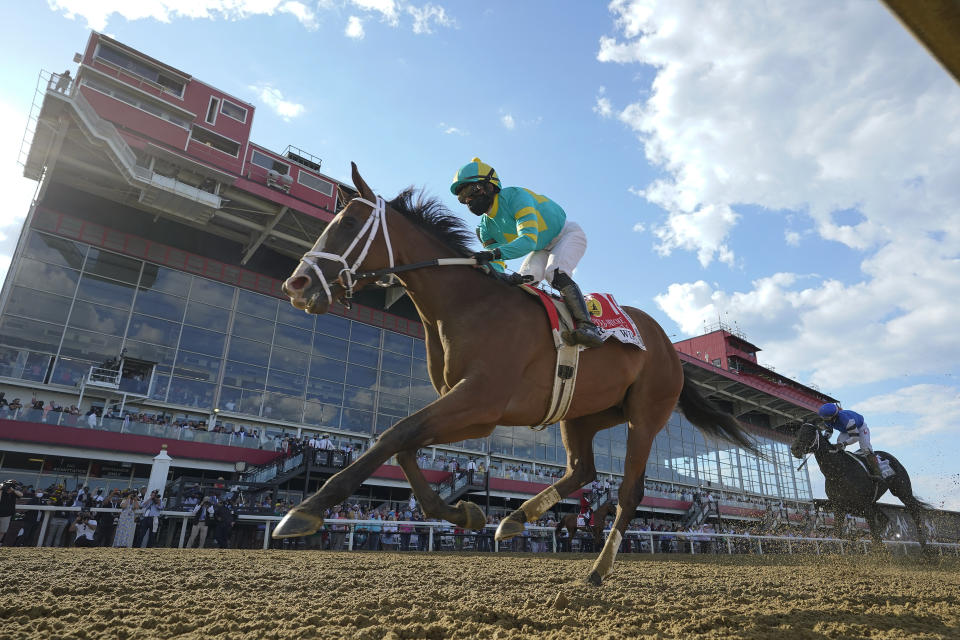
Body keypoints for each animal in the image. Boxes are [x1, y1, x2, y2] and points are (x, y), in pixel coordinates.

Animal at [276, 164, 756, 584]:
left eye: (350, 223)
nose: (296, 285)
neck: (467, 304)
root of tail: (668, 347)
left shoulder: (480, 401)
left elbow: (394, 434)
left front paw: (305, 509)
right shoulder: (470, 408)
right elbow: (405, 445)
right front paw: (463, 512)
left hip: (645, 413)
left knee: (628, 493)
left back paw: (598, 568)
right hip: (583, 414)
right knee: (583, 471)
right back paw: (514, 519)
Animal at [788, 422, 928, 552]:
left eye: (809, 433)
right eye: (797, 432)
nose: (794, 448)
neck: (838, 471)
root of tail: (892, 458)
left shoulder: (864, 506)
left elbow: (875, 538)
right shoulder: (840, 506)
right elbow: (838, 533)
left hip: (901, 490)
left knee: (914, 510)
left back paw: (924, 545)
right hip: (873, 502)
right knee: (884, 519)